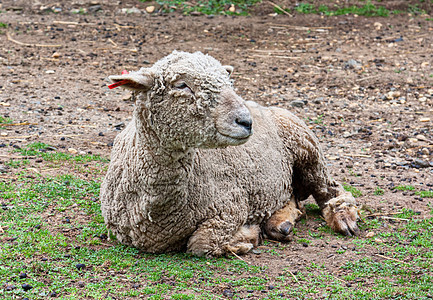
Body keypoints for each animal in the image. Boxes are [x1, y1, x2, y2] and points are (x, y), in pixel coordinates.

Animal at [99, 50, 360, 256]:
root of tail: (262, 105)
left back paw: (343, 218)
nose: (246, 121)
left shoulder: (232, 206)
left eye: (228, 82)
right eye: (181, 85)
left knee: (330, 189)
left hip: (307, 147)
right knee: (295, 200)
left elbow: (201, 243)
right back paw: (281, 222)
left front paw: (246, 236)